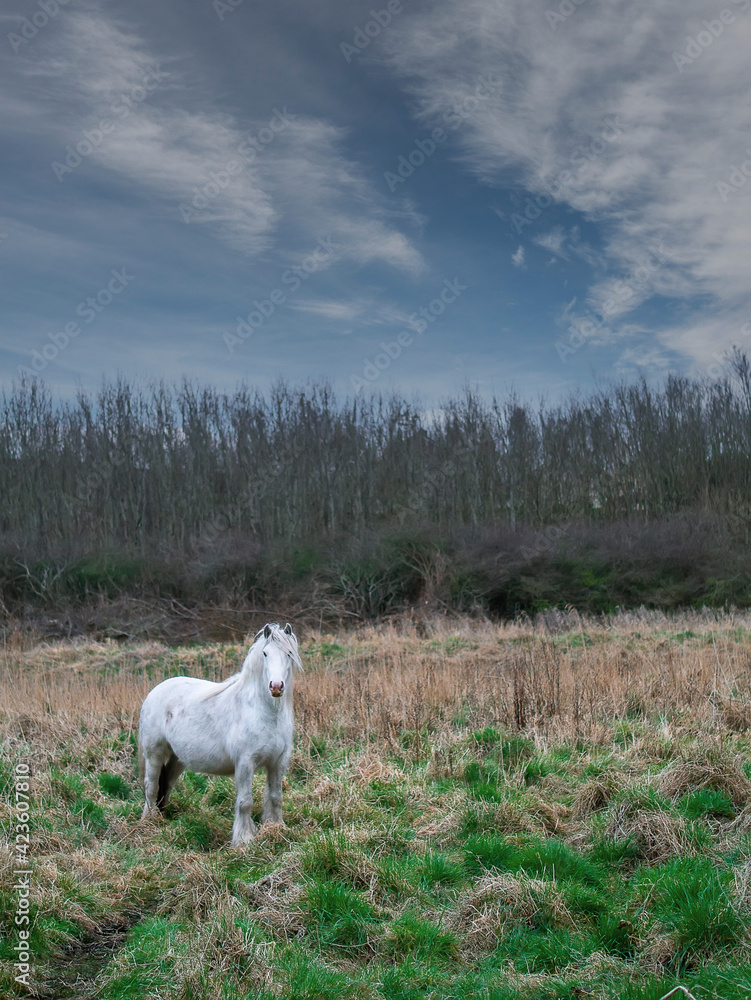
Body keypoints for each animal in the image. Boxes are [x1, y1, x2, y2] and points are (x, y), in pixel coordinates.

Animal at [138, 622, 302, 845]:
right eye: (265, 653)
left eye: (288, 654)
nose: (276, 687)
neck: (265, 713)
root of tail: (155, 691)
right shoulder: (245, 763)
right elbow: (245, 802)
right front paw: (244, 840)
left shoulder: (278, 762)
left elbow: (276, 796)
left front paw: (275, 829)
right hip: (154, 754)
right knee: (151, 786)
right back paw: (149, 821)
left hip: (177, 759)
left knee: (166, 784)